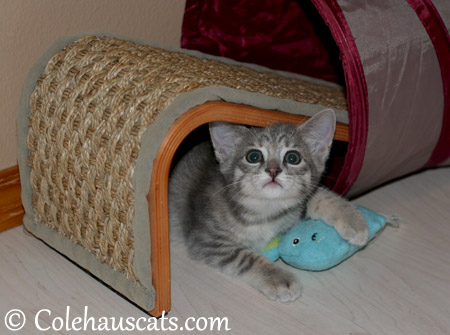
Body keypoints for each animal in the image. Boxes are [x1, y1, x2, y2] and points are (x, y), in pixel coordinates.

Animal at [169, 109, 370, 302]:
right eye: (253, 156)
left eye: (293, 157)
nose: (273, 170)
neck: (265, 209)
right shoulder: (206, 240)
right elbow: (246, 258)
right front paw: (280, 279)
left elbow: (319, 195)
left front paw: (354, 220)